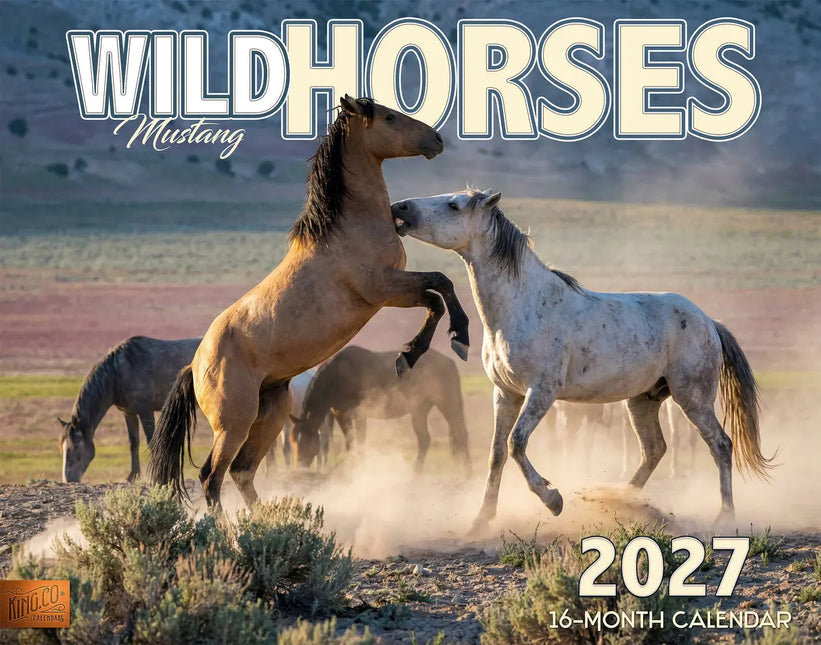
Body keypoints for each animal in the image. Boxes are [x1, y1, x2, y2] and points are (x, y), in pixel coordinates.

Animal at [59, 336, 201, 482]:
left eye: (75, 447)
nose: (68, 479)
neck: (118, 373)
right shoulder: (129, 413)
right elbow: (133, 442)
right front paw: (133, 475)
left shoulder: (145, 410)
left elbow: (151, 440)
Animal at [290, 345, 471, 474]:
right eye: (294, 441)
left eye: (308, 440)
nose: (299, 467)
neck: (337, 377)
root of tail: (449, 362)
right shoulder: (342, 416)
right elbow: (351, 444)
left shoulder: (359, 415)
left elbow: (360, 443)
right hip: (419, 410)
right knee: (426, 440)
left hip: (448, 405)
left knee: (460, 434)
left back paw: (467, 473)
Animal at [391, 188, 774, 526]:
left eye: (453, 205)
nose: (400, 208)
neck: (521, 304)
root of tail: (709, 321)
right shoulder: (506, 393)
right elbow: (497, 454)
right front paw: (481, 520)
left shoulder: (541, 392)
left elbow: (516, 444)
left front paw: (553, 499)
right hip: (643, 400)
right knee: (654, 450)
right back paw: (619, 500)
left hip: (692, 397)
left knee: (720, 445)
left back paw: (724, 516)